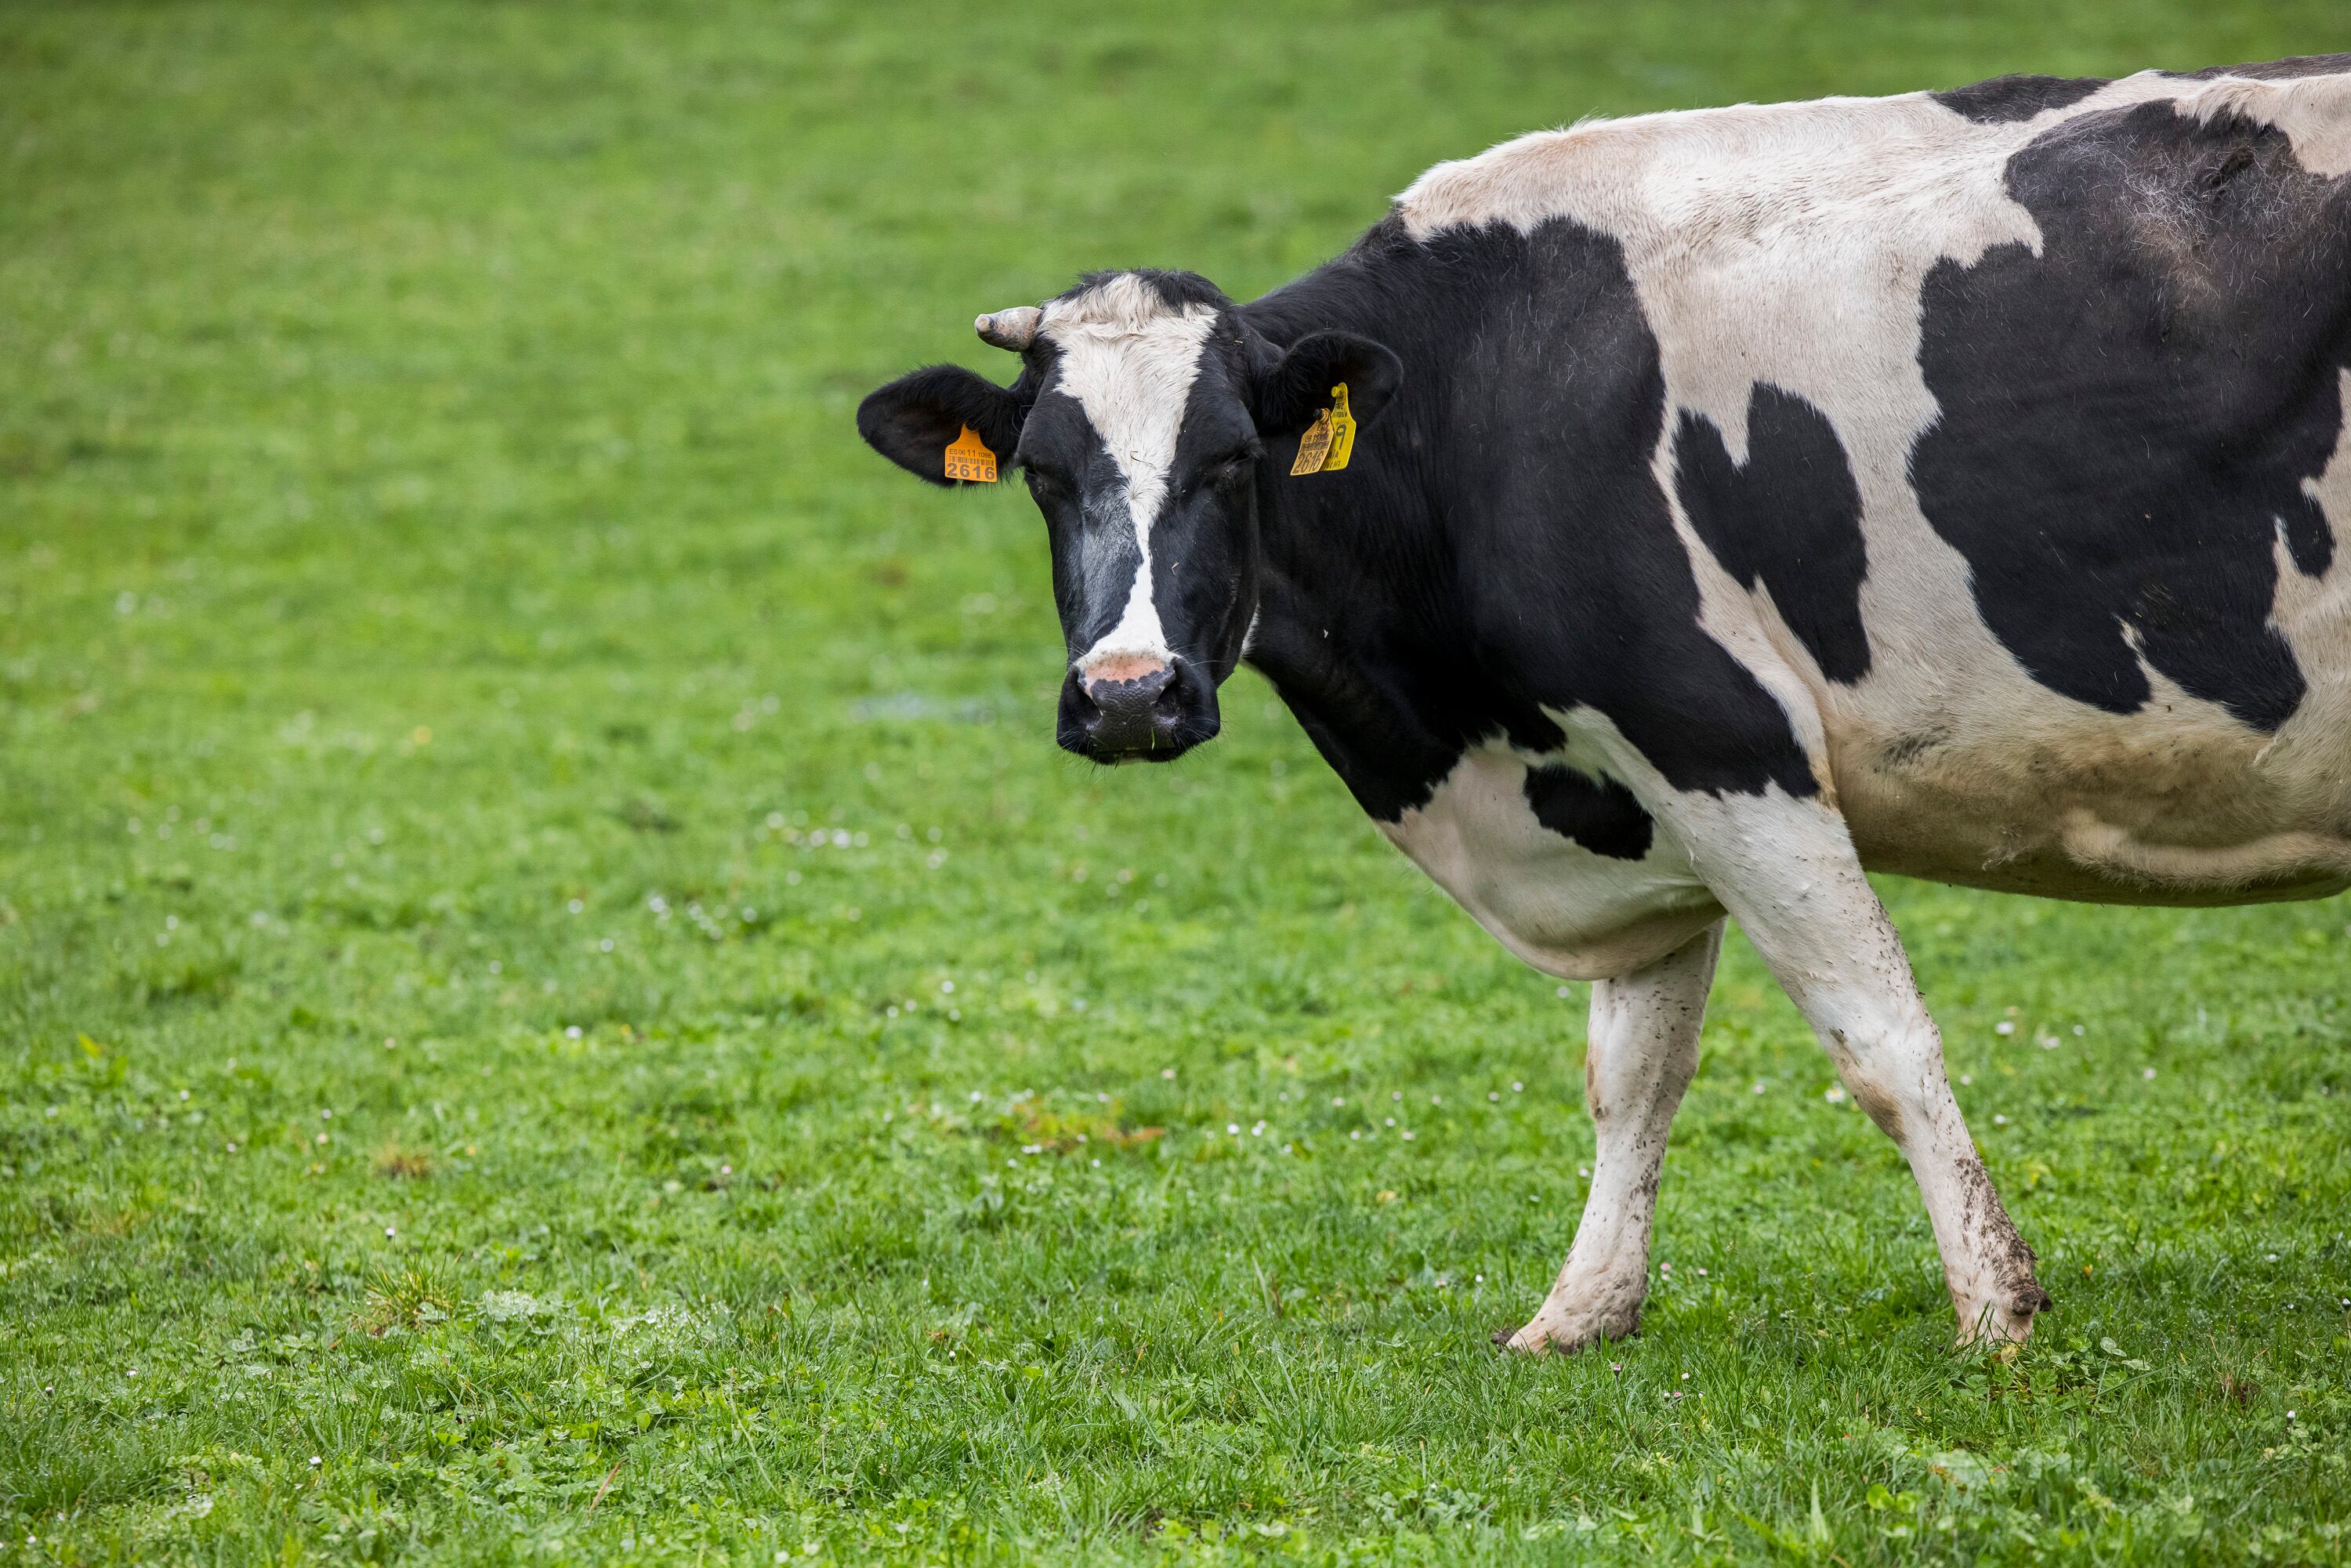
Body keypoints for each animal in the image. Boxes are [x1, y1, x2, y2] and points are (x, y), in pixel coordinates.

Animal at [860, 55, 2351, 1354]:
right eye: (1043, 473)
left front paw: (1997, 1311)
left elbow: (1881, 1041)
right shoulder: (1631, 789)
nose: (1129, 695)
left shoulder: (1723, 742)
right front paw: (1582, 1312)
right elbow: (1632, 1075)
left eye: (1233, 460)